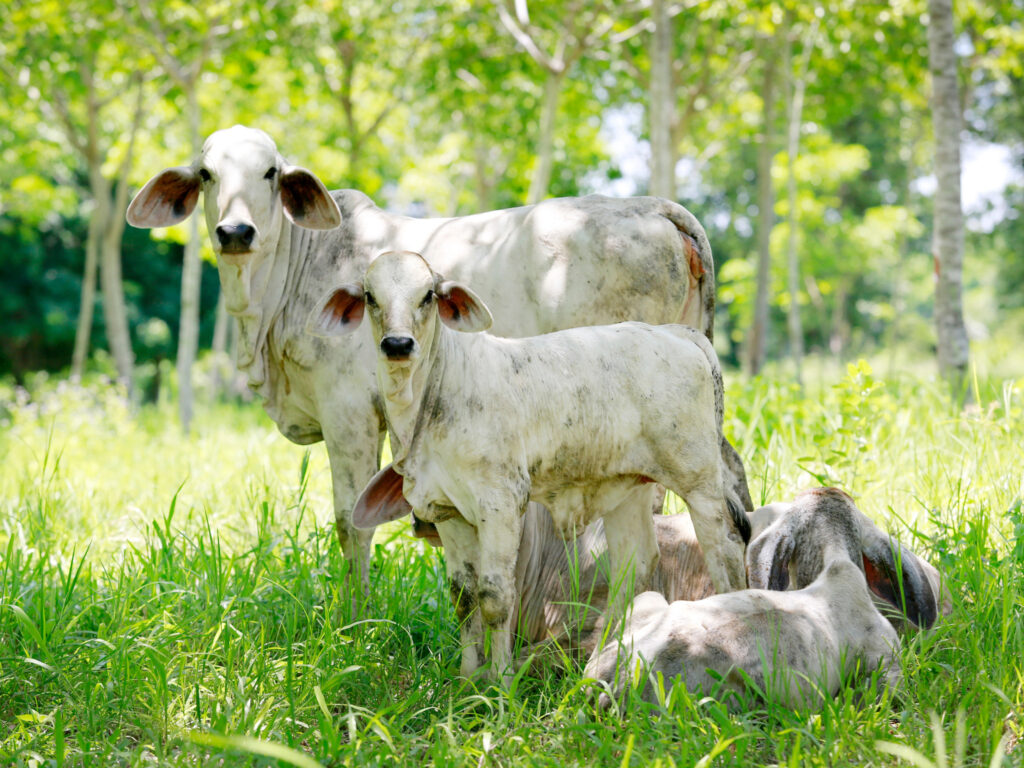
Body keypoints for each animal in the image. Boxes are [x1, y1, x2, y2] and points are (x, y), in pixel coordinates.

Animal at [130, 126, 753, 593]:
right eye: (207, 174)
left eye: (270, 173)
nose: (235, 231)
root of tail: (656, 207)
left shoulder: (349, 413)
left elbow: (349, 523)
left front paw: (351, 617)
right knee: (732, 481)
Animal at [307, 249, 749, 684]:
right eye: (370, 296)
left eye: (428, 295)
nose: (397, 344)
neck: (432, 397)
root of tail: (678, 334)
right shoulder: (447, 510)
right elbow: (463, 596)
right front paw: (467, 679)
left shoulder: (502, 502)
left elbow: (495, 596)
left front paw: (501, 683)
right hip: (629, 489)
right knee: (634, 568)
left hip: (699, 482)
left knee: (725, 549)